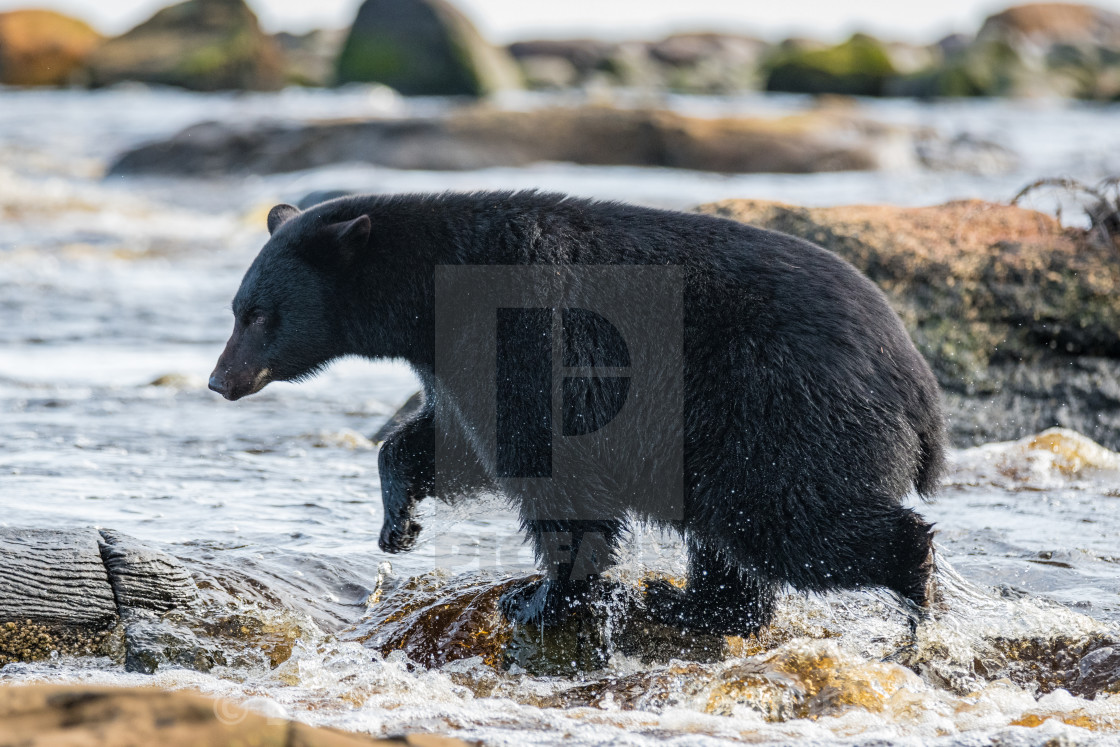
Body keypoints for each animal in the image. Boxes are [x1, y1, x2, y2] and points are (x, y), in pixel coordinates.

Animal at [210, 190, 945, 636]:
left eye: (259, 314)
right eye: (237, 308)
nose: (220, 380)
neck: (430, 292)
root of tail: (919, 384)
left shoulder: (530, 335)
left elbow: (549, 466)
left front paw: (541, 596)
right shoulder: (461, 358)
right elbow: (450, 440)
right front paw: (399, 524)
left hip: (780, 408)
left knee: (790, 519)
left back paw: (916, 598)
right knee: (731, 530)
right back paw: (690, 606)